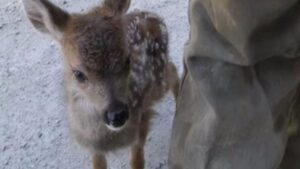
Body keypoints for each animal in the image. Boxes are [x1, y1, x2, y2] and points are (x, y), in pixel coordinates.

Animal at [23, 0, 178, 168]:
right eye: (78, 74)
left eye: (127, 61)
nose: (117, 115)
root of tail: (154, 16)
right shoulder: (93, 146)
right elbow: (98, 163)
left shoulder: (142, 118)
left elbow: (136, 161)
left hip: (158, 79)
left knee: (173, 70)